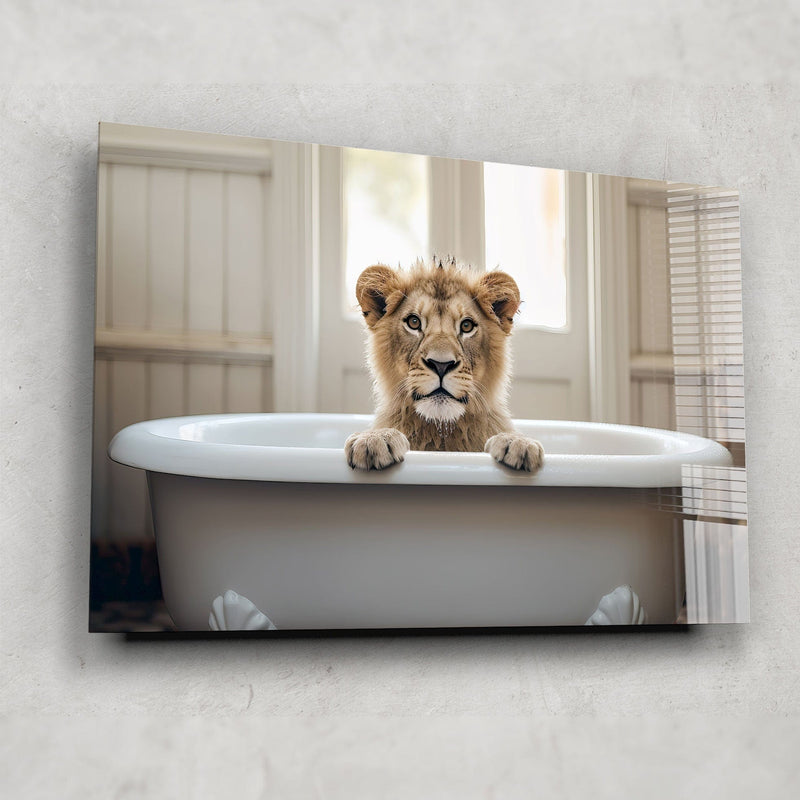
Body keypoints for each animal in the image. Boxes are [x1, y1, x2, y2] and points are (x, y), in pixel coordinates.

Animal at [344, 257, 544, 472]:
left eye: (466, 326)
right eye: (414, 322)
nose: (441, 365)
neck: (441, 431)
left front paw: (516, 442)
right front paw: (375, 438)